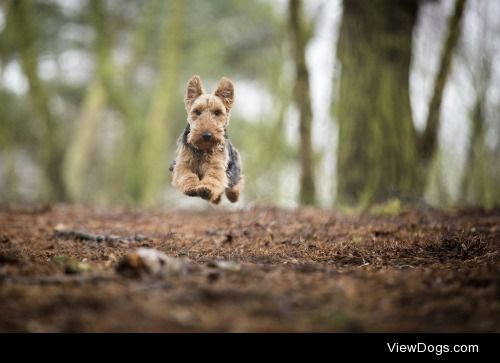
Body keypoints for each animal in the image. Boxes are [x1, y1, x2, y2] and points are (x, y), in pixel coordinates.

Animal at [170, 75, 244, 205]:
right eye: (197, 111)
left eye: (217, 112)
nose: (207, 135)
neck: (202, 149)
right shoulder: (183, 164)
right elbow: (187, 175)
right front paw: (191, 187)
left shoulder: (216, 165)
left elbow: (213, 177)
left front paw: (206, 189)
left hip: (234, 168)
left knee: (234, 184)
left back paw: (233, 196)